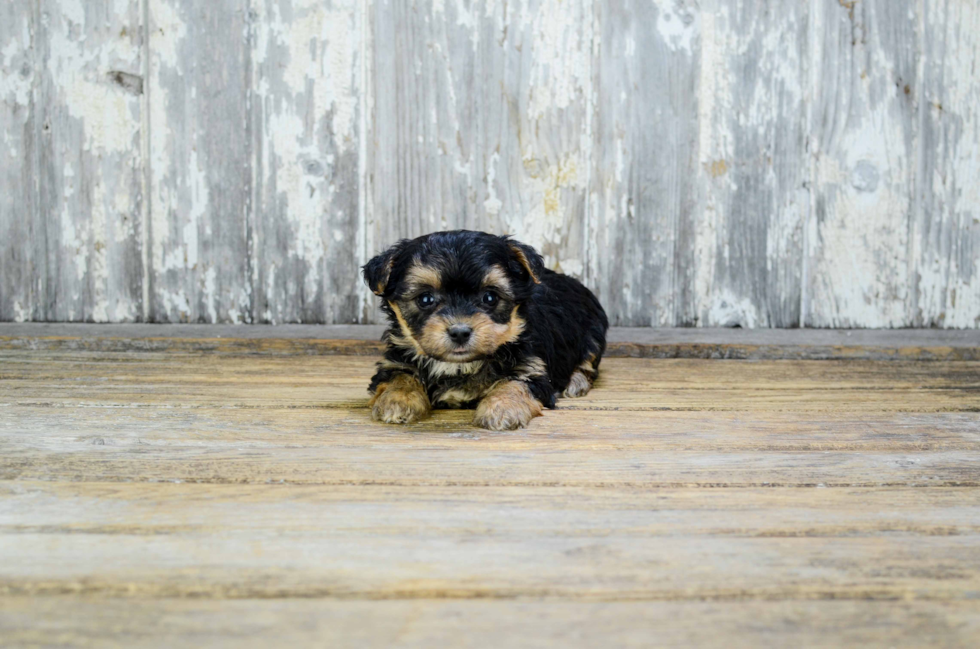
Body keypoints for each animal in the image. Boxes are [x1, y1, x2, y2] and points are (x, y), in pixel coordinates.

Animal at [360, 229, 604, 430]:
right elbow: (399, 376)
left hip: (593, 334)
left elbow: (514, 384)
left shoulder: (532, 370)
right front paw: (397, 400)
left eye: (489, 297)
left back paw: (576, 382)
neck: (458, 366)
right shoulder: (394, 360)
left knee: (588, 363)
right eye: (425, 299)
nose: (459, 332)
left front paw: (502, 409)